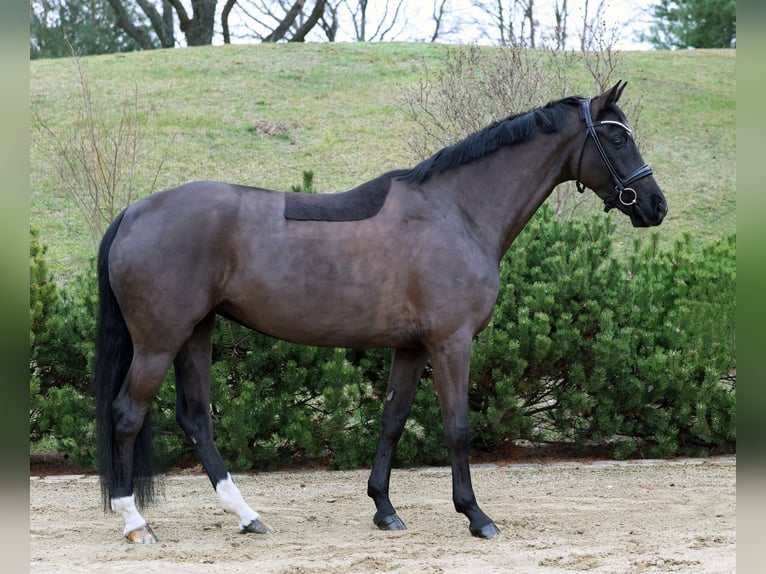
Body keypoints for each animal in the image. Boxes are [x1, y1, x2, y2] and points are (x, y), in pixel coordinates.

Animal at [94, 80, 664, 544]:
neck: (457, 211)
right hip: (159, 340)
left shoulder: (411, 348)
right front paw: (476, 515)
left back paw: (247, 515)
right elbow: (457, 425)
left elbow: (392, 421)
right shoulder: (451, 342)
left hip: (196, 332)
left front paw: (384, 509)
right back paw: (136, 522)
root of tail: (134, 212)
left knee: (195, 419)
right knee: (126, 415)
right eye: (617, 139)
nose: (655, 205)